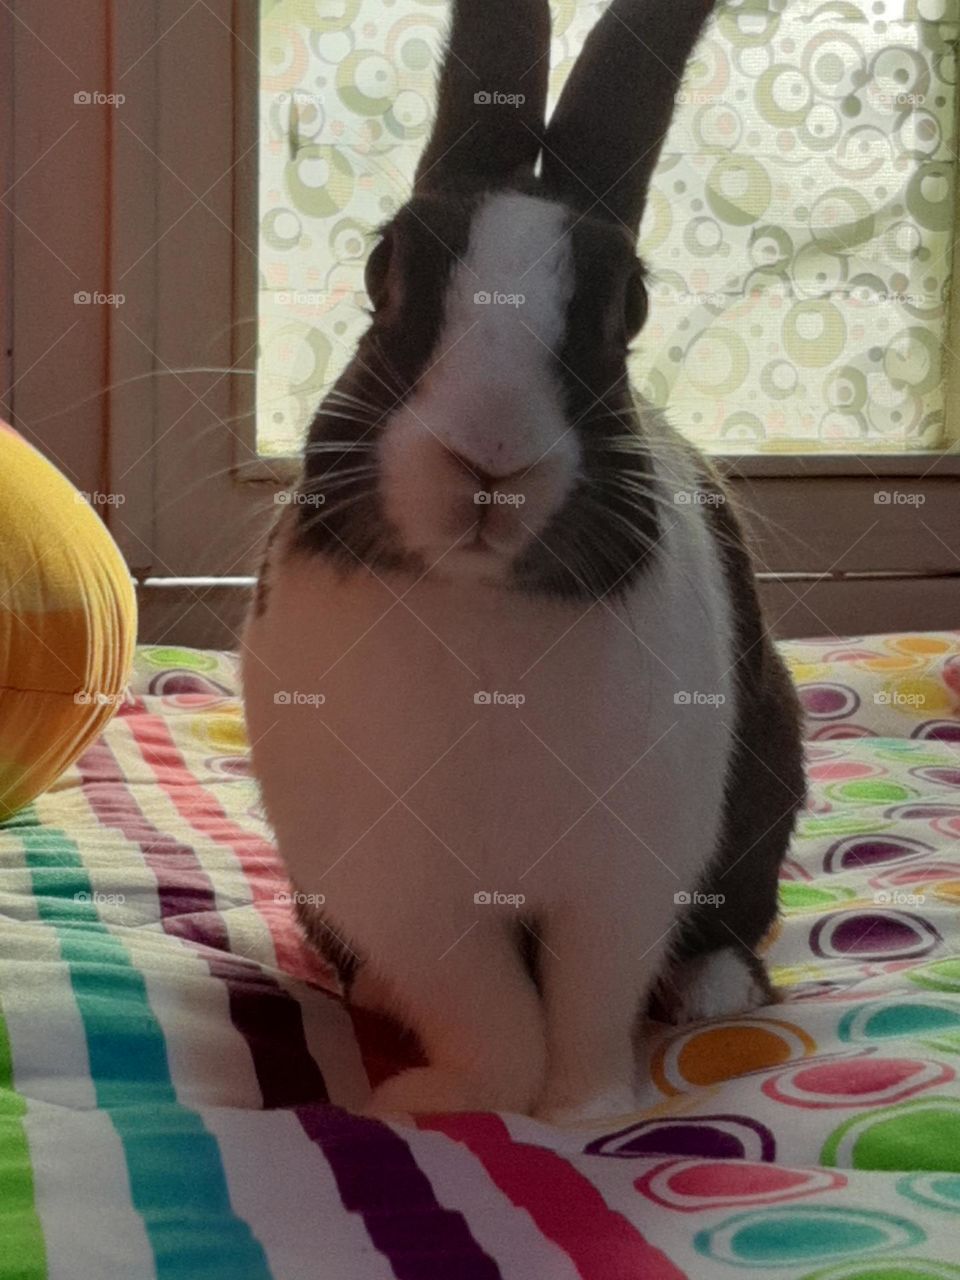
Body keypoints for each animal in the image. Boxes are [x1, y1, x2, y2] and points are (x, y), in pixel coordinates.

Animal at [242, 0, 805, 1123]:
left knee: (729, 928)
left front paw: (589, 1114)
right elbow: (491, 1016)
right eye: (383, 267)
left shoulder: (620, 881)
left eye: (629, 305)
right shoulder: (406, 894)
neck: (481, 605)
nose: (491, 452)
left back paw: (710, 991)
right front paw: (441, 1099)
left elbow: (587, 1005)